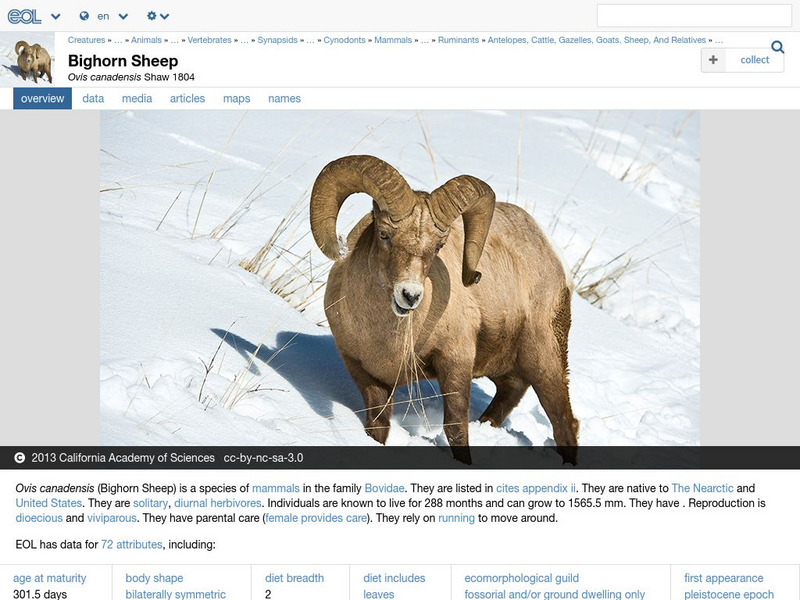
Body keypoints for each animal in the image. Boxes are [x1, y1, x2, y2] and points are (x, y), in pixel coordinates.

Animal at [310, 155, 578, 464]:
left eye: (438, 246)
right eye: (384, 235)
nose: (410, 295)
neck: (386, 336)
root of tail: (550, 250)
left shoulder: (455, 362)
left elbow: (456, 429)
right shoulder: (365, 373)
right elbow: (377, 427)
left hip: (546, 362)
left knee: (564, 423)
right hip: (510, 369)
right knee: (508, 397)